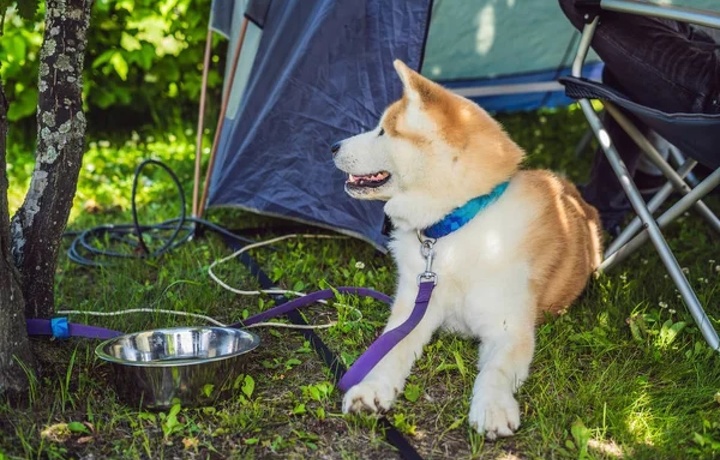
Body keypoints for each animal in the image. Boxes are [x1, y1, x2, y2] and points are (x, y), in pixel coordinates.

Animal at [332, 59, 600, 440]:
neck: (455, 229)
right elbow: (388, 351)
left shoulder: (509, 330)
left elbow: (496, 371)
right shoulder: (413, 310)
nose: (333, 146)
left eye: (383, 131)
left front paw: (493, 407)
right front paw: (370, 389)